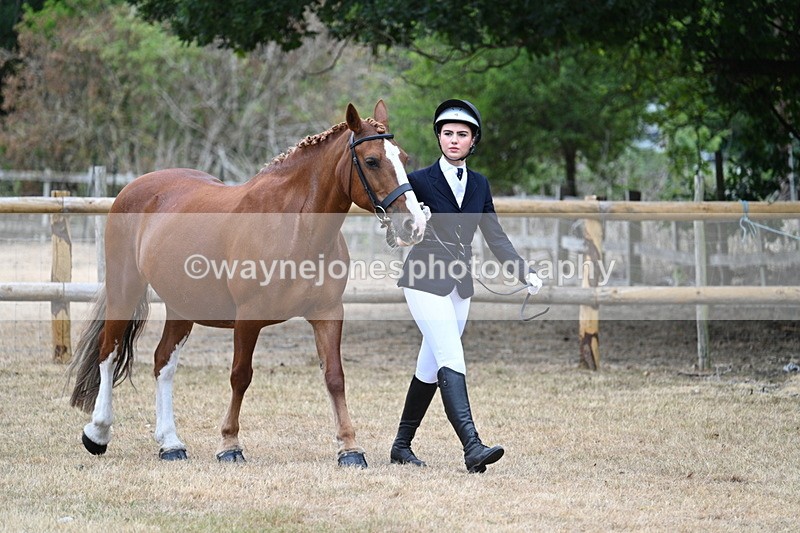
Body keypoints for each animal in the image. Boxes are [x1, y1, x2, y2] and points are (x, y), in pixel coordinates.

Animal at [67, 100, 426, 467]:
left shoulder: (328, 313)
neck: (295, 226)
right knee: (109, 352)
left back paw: (170, 443)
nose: (415, 224)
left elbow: (334, 377)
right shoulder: (248, 318)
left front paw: (350, 448)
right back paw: (98, 433)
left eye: (404, 158)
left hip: (181, 307)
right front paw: (230, 444)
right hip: (125, 289)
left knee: (163, 363)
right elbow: (240, 376)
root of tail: (134, 188)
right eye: (372, 161)